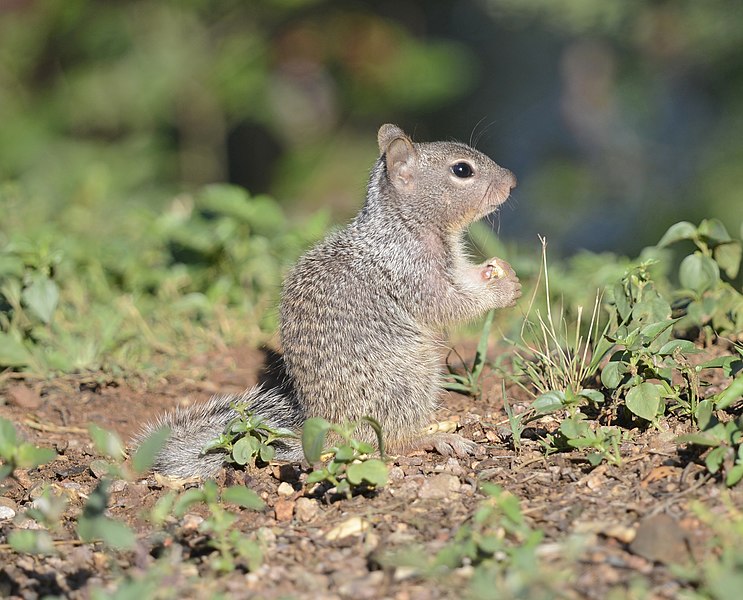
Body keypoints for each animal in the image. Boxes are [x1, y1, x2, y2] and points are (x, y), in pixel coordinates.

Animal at [141, 125, 524, 478]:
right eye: (462, 170)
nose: (512, 181)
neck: (403, 226)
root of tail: (326, 428)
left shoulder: (451, 264)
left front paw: (501, 272)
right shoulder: (411, 273)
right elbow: (447, 305)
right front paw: (502, 292)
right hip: (407, 383)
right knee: (388, 441)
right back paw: (434, 438)